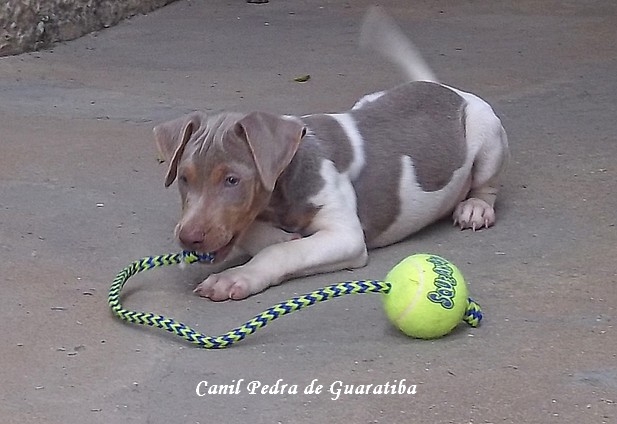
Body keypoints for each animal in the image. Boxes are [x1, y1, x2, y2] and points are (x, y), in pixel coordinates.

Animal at [153, 9, 506, 302]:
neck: (288, 181)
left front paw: (234, 277)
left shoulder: (345, 236)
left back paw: (475, 209)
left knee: (487, 184)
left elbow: (282, 252)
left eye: (232, 180)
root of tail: (446, 89)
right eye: (183, 179)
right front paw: (277, 237)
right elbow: (264, 237)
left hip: (488, 134)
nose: (188, 238)